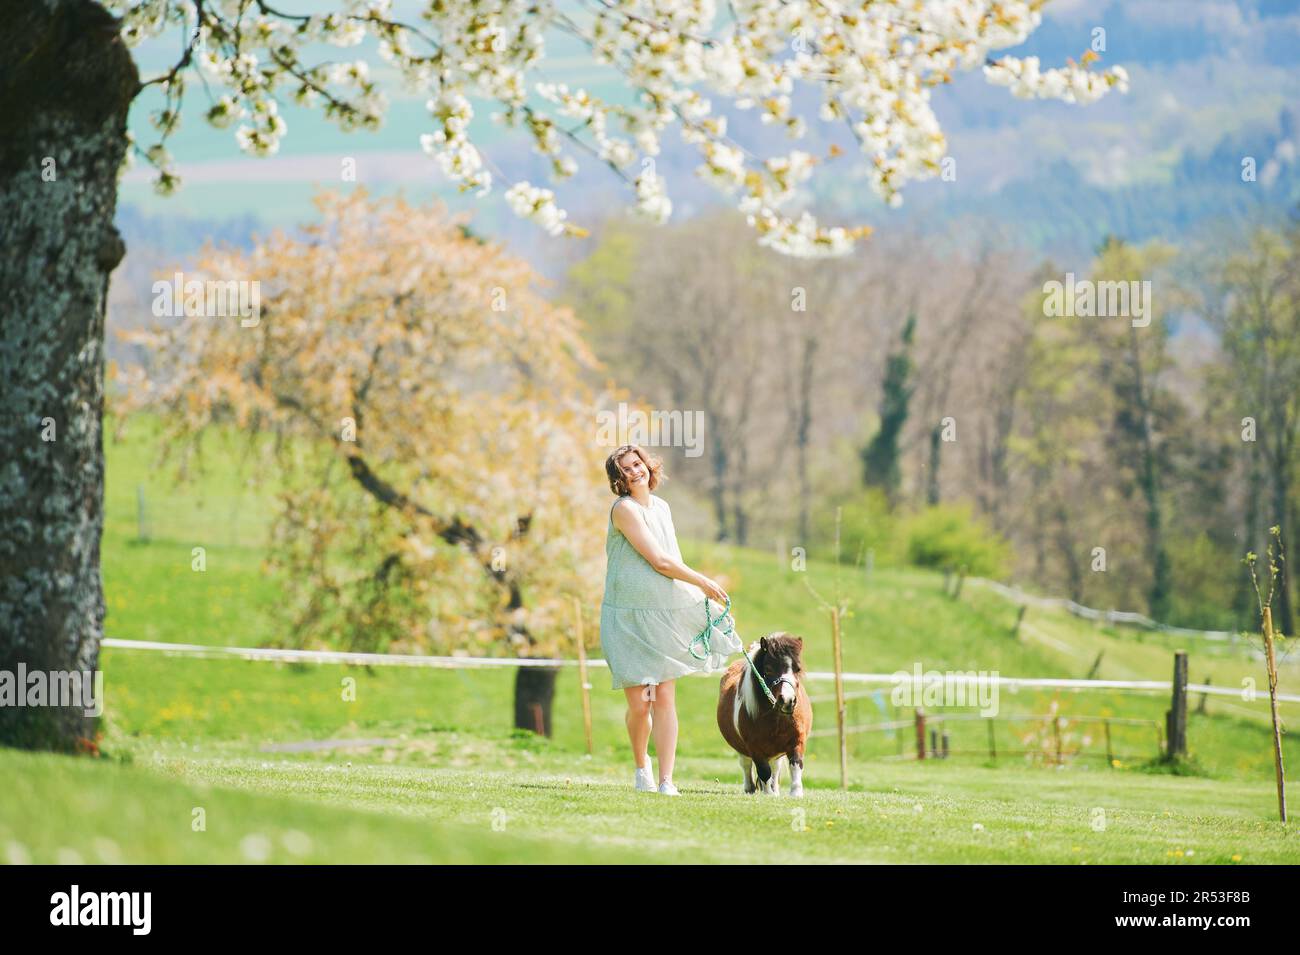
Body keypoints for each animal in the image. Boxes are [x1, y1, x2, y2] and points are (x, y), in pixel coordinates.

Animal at [717, 634, 806, 800]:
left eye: (797, 669)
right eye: (768, 669)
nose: (788, 700)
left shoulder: (796, 740)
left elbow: (796, 764)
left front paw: (796, 792)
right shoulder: (754, 747)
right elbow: (764, 771)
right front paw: (768, 793)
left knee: (776, 767)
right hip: (742, 748)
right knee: (746, 764)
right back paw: (750, 787)